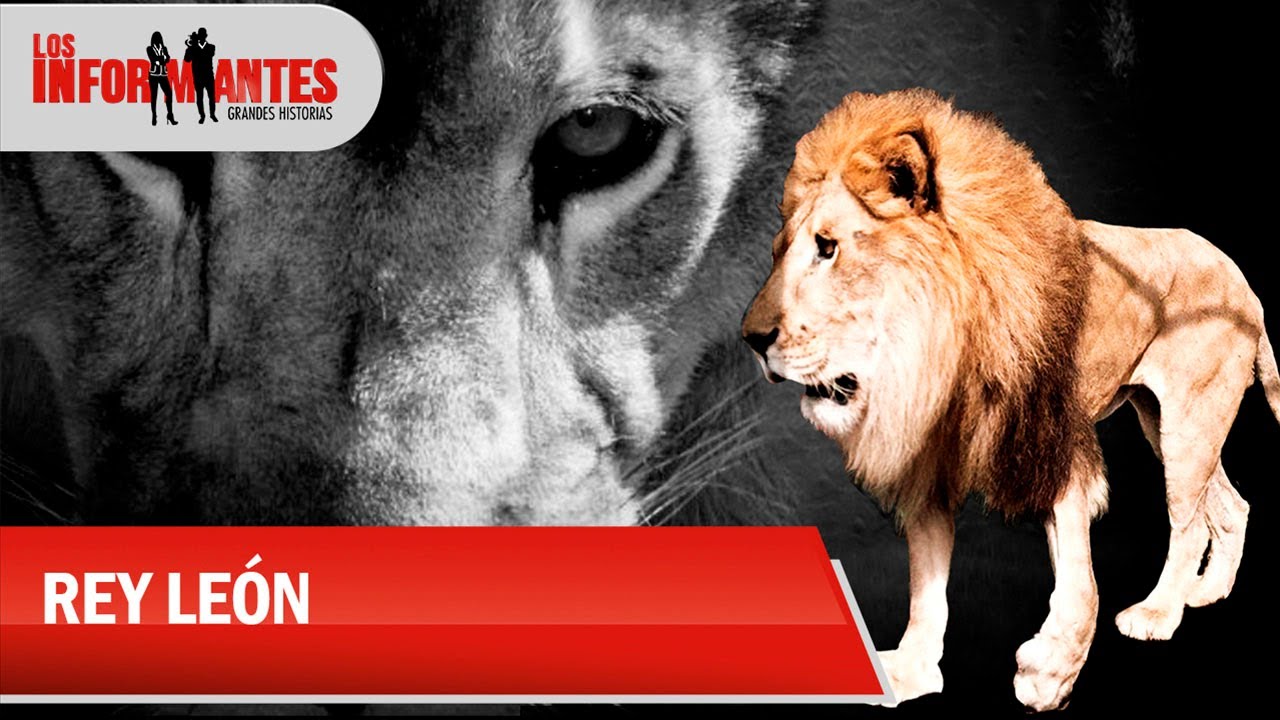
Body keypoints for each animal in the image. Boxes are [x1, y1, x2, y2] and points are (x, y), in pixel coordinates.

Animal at [741, 88, 1280, 711]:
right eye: (780, 252)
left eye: (827, 248)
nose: (750, 339)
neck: (938, 350)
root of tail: (1242, 280)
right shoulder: (931, 463)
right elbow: (927, 585)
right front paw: (914, 671)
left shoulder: (1052, 440)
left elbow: (1077, 574)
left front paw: (1052, 670)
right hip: (1162, 422)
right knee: (1231, 505)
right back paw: (1206, 593)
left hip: (1190, 421)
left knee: (1189, 522)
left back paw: (1158, 614)